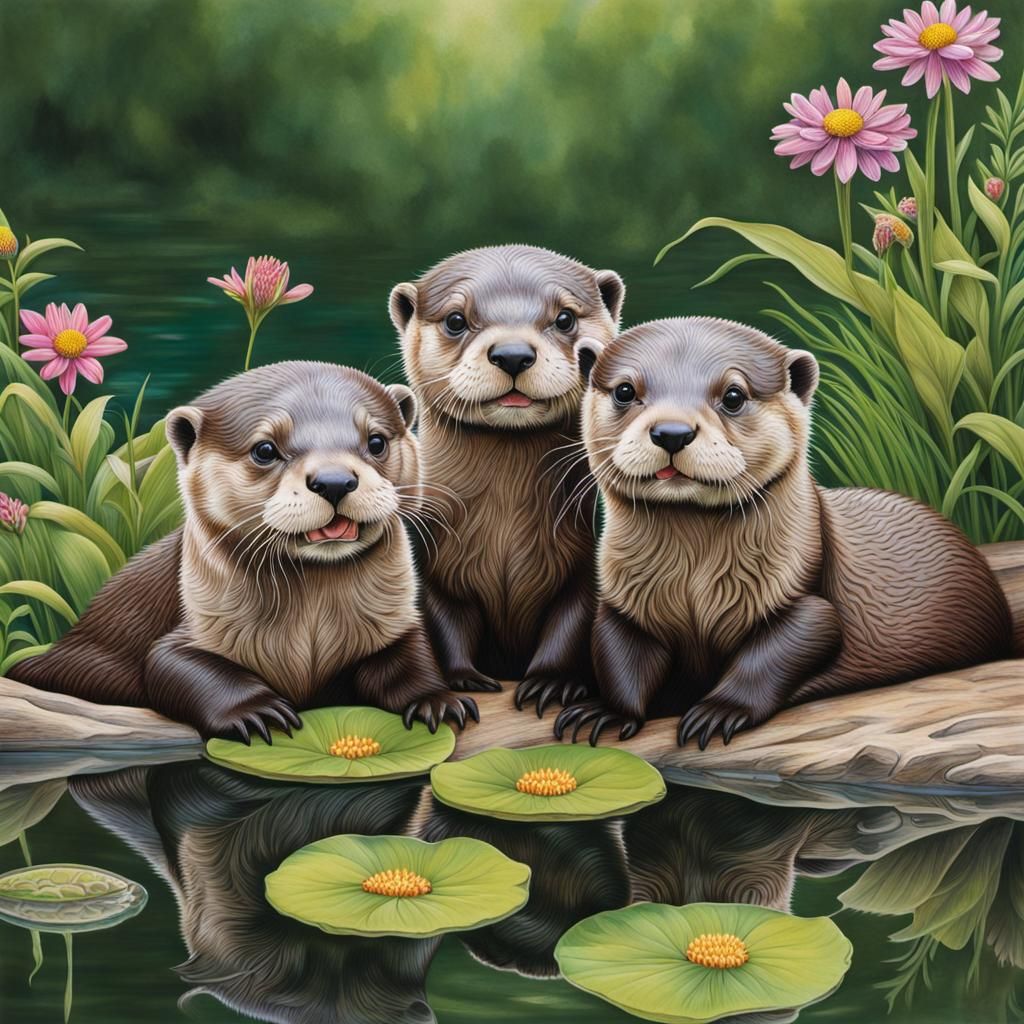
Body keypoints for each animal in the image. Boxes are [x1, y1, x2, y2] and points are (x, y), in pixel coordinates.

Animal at [12, 361, 476, 741]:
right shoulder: (197, 623)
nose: (334, 481)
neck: (310, 633)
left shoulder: (390, 621)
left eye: (376, 441)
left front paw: (437, 699)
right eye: (265, 449)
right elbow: (176, 665)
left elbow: (409, 659)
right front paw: (256, 711)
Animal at [389, 245, 625, 713]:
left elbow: (570, 621)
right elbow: (444, 622)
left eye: (565, 318)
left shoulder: (579, 569)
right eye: (456, 320)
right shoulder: (437, 572)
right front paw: (459, 682)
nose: (513, 354)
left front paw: (551, 682)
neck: (505, 537)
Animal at [555, 317, 1013, 747]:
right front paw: (608, 712)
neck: (694, 585)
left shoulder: (804, 598)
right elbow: (621, 653)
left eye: (734, 396)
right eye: (625, 390)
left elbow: (778, 650)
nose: (672, 432)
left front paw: (720, 710)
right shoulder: (625, 604)